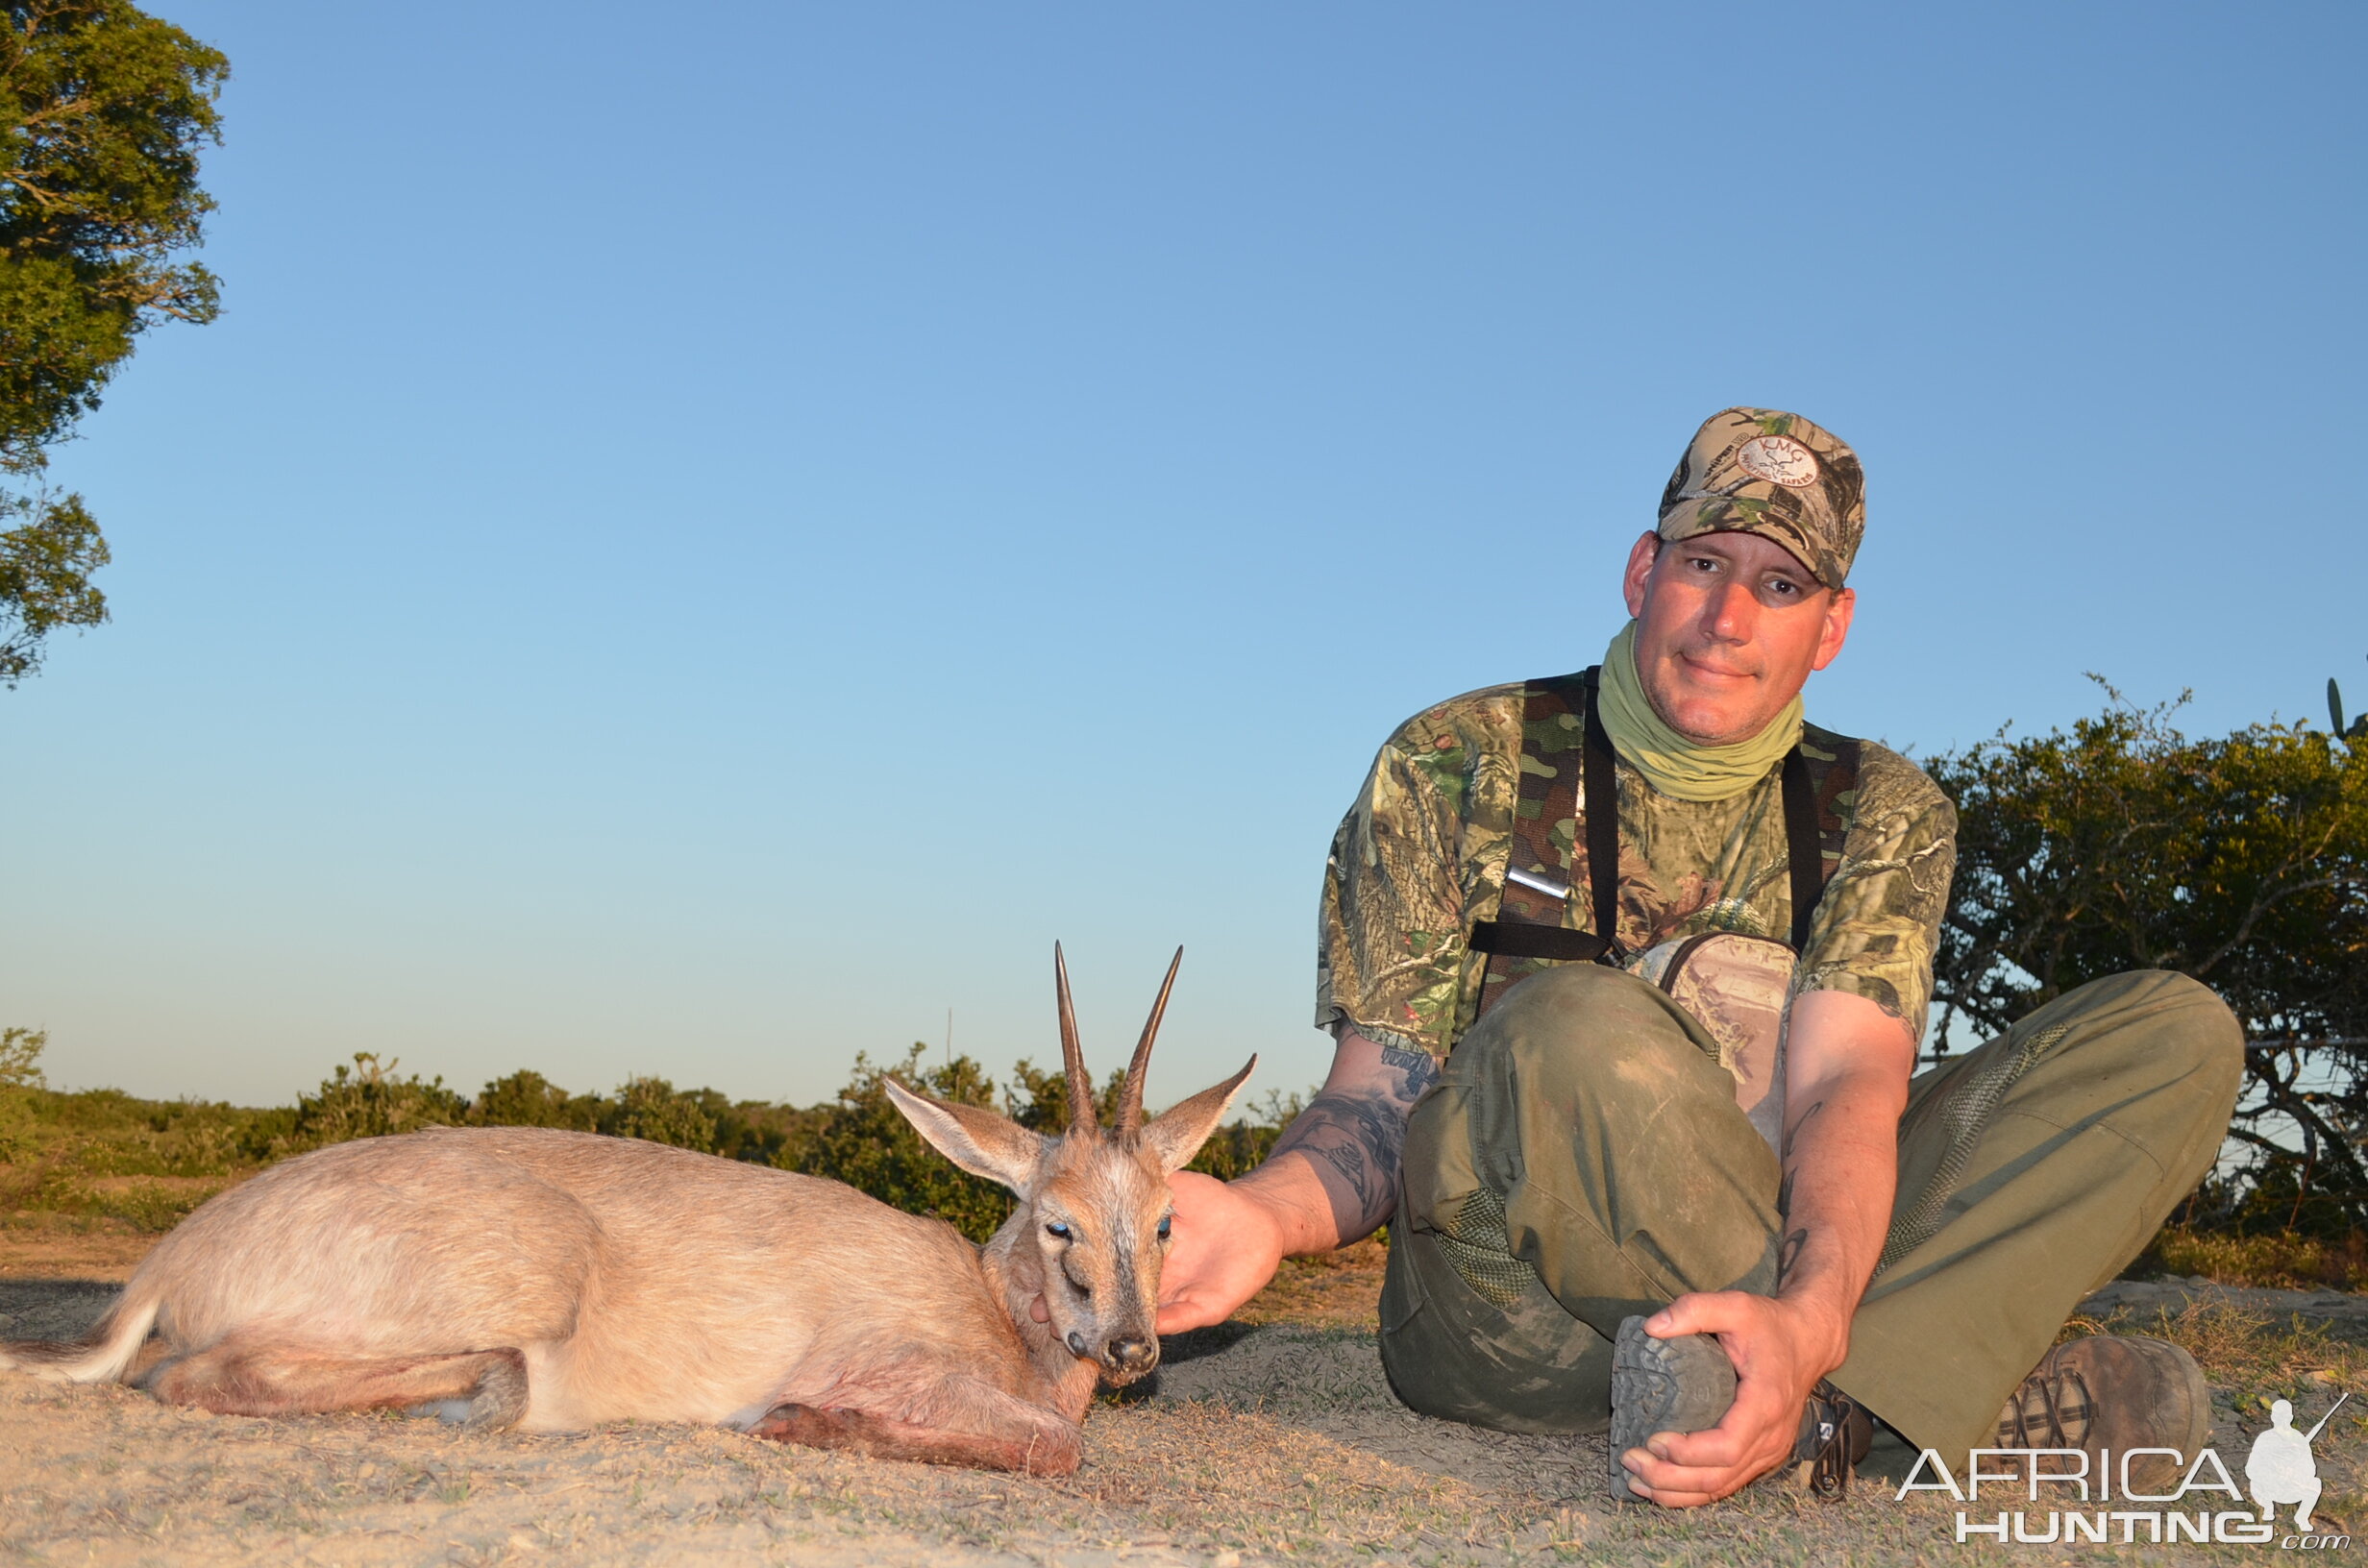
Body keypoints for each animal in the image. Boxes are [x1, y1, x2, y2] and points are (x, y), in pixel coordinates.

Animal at [0, 952, 1249, 1478]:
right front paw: (795, 1421)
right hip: (525, 1280)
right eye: (1056, 1219)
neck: (991, 1311)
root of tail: (170, 1259)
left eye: (1165, 1220)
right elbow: (1056, 1443)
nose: (1130, 1348)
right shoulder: (897, 1367)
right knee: (190, 1375)